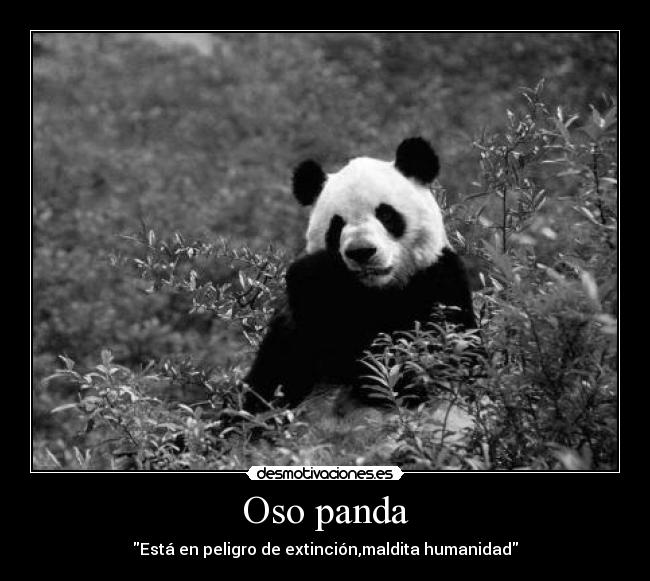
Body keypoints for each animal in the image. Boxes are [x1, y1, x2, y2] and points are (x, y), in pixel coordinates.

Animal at [243, 137, 476, 413]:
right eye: (337, 224)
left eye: (385, 214)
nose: (361, 251)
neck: (376, 291)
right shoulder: (294, 329)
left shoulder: (440, 282)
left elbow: (425, 361)